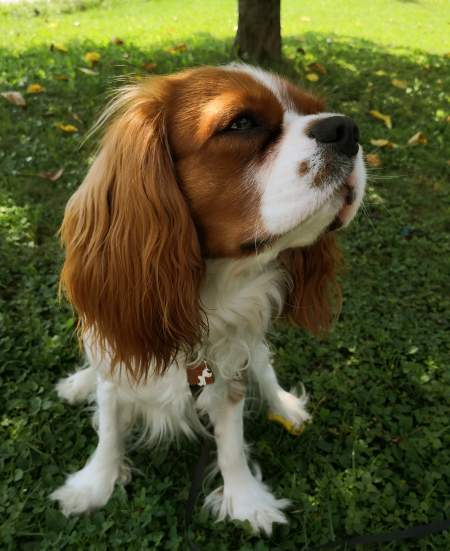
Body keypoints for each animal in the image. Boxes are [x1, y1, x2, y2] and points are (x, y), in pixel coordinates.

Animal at [50, 63, 366, 536]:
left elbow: (231, 440)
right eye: (242, 123)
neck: (207, 290)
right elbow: (109, 427)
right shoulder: (115, 360)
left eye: (314, 108)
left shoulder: (227, 370)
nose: (346, 127)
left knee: (264, 367)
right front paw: (94, 485)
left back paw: (285, 406)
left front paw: (245, 499)